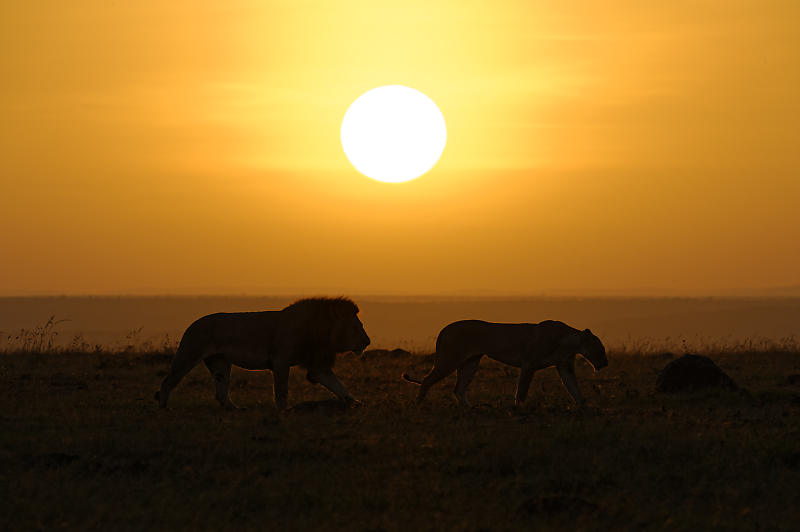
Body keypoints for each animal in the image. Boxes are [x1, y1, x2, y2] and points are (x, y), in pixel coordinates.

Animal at [156, 298, 372, 410]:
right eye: (356, 327)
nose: (367, 342)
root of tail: (192, 324)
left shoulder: (317, 366)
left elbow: (340, 386)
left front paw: (356, 403)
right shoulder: (281, 361)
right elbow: (282, 390)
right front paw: (284, 411)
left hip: (220, 364)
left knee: (221, 393)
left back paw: (236, 410)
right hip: (188, 354)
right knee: (167, 382)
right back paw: (163, 406)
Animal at [404, 320, 608, 408]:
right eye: (601, 349)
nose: (606, 363)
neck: (569, 343)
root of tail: (443, 329)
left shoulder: (565, 366)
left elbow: (574, 388)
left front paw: (583, 405)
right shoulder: (529, 364)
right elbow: (522, 390)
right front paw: (519, 408)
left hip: (471, 363)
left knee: (458, 389)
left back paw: (471, 409)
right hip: (449, 359)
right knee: (427, 380)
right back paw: (418, 404)